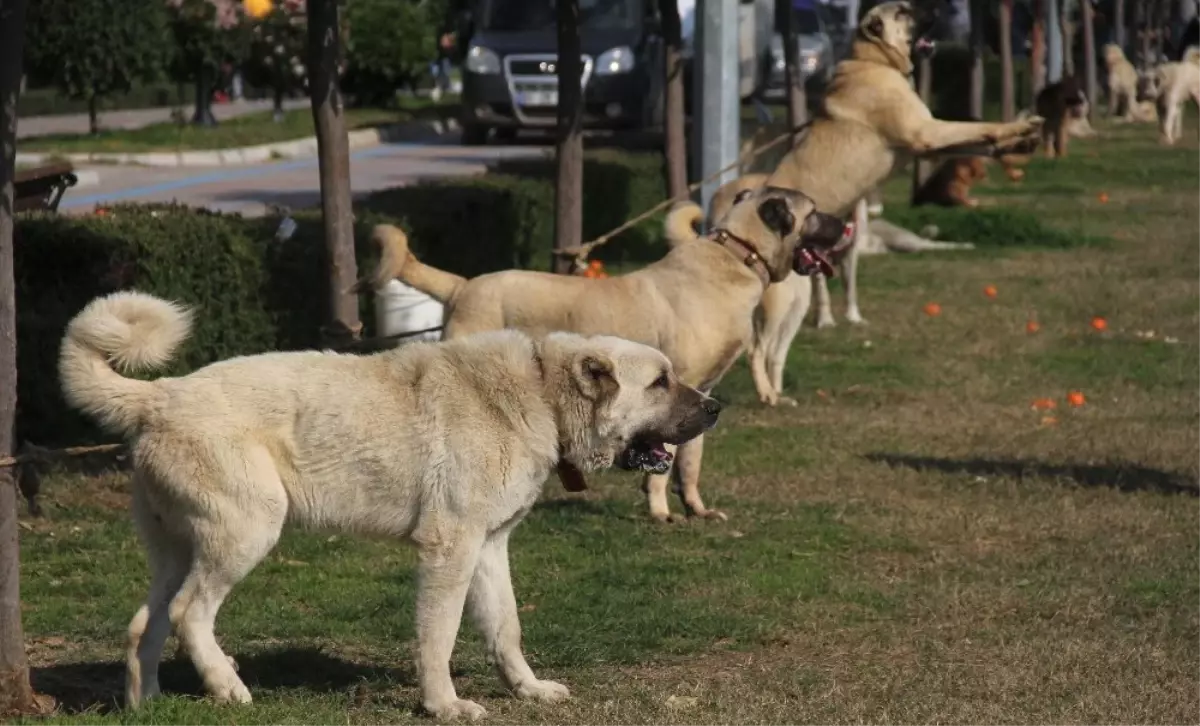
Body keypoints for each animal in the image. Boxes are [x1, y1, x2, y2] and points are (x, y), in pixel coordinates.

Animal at [60, 290, 715, 720]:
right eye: (660, 382)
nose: (716, 407)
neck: (540, 394)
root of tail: (159, 396)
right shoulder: (449, 551)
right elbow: (440, 636)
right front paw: (444, 704)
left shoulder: (488, 548)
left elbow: (506, 627)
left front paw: (528, 690)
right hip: (247, 532)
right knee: (189, 614)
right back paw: (227, 686)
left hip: (177, 550)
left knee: (145, 623)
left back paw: (149, 705)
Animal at [355, 186, 844, 520]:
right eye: (813, 212)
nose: (845, 224)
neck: (738, 256)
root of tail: (462, 287)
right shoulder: (670, 398)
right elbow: (664, 463)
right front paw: (661, 512)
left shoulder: (701, 394)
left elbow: (691, 461)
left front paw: (697, 509)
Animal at [705, 0, 1036, 405]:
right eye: (905, 11)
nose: (940, 8)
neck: (873, 59)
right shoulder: (928, 132)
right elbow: (977, 128)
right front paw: (1018, 129)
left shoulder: (931, 141)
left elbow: (977, 140)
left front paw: (1020, 140)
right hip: (779, 303)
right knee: (757, 350)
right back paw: (768, 396)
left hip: (796, 298)